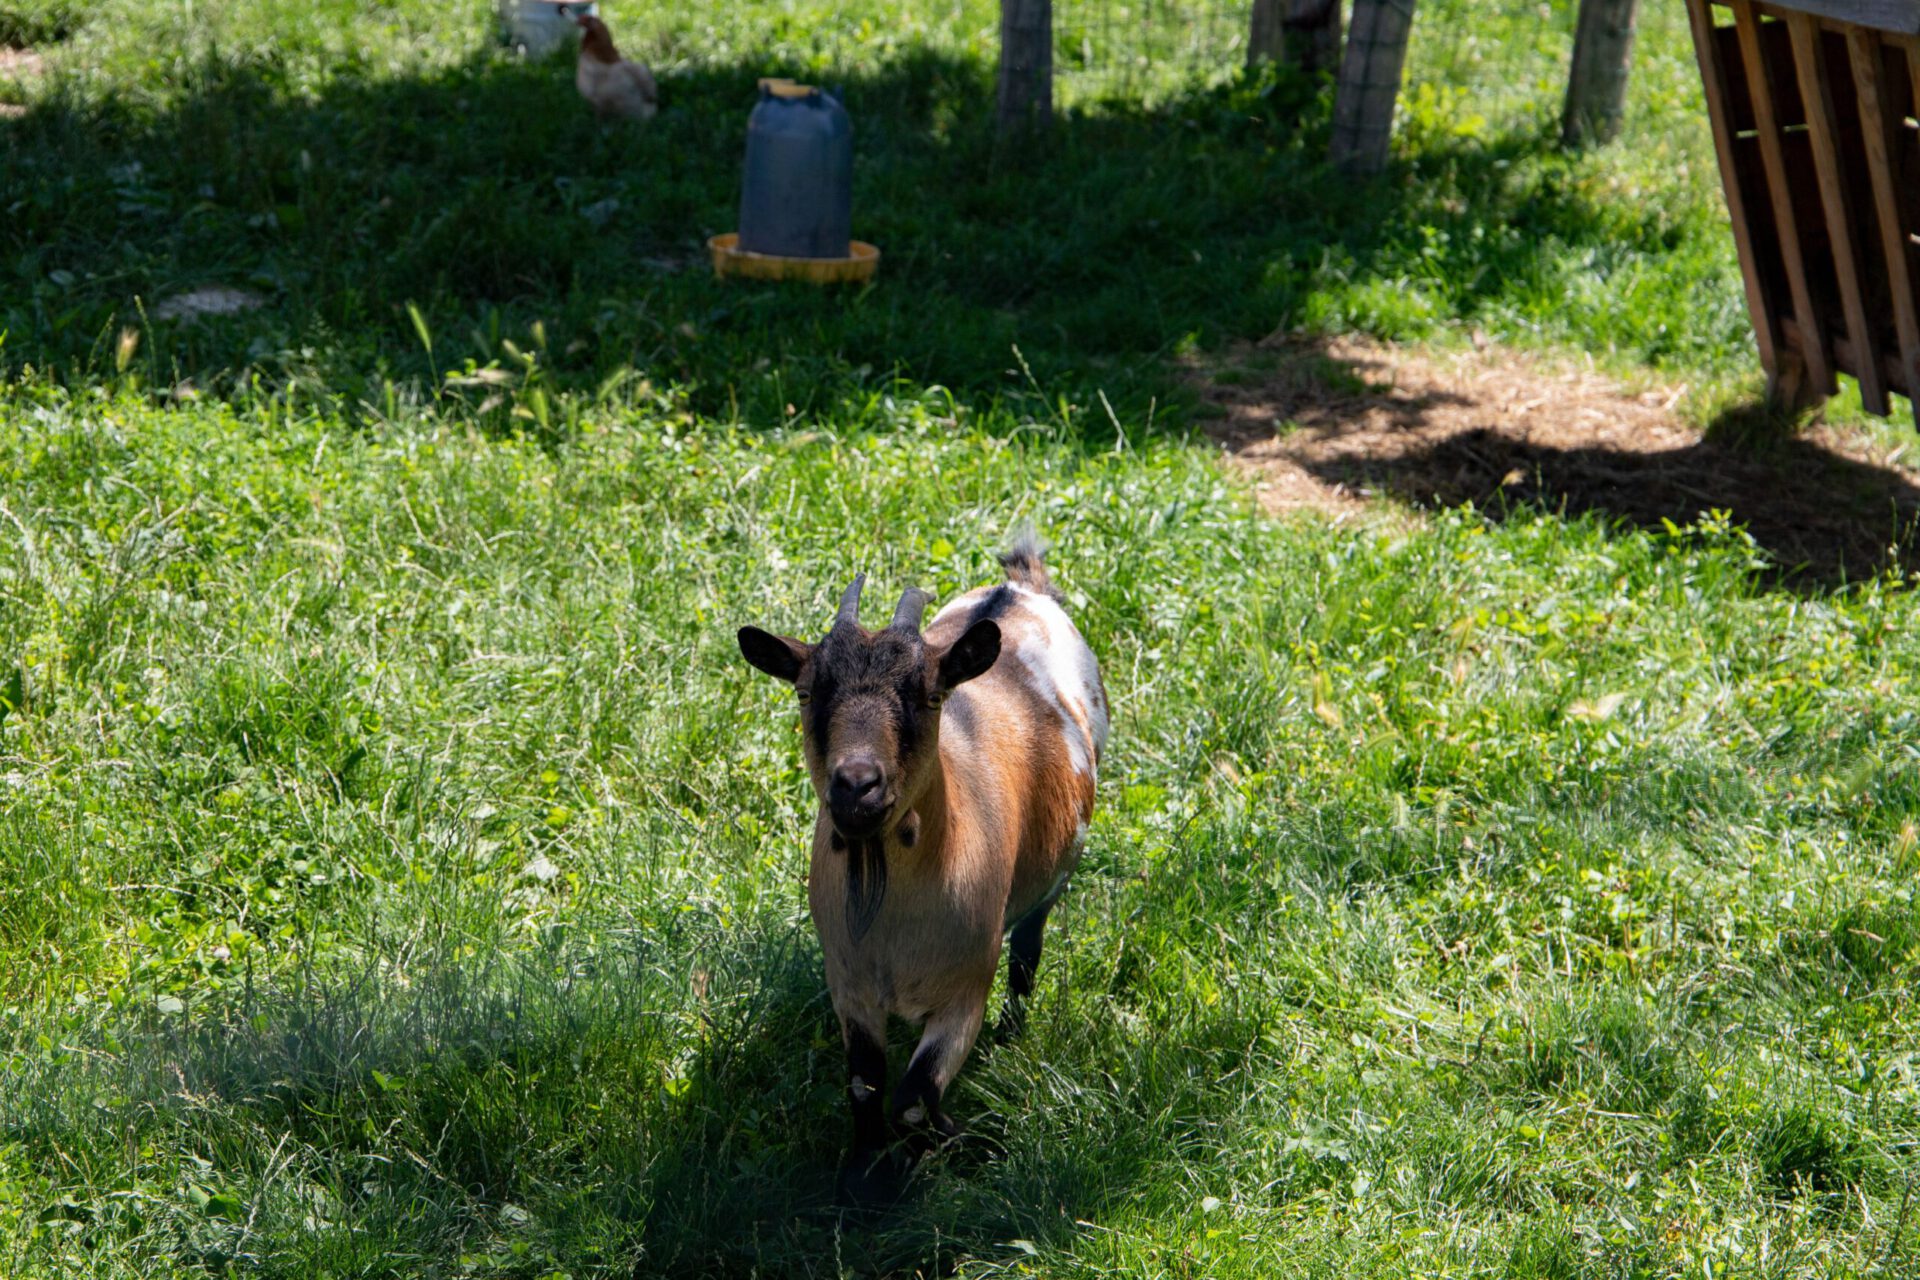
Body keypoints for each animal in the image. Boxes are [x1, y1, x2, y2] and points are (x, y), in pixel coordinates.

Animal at [737, 537, 1113, 1197]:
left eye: (930, 696)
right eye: (807, 693)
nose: (856, 785)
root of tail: (1018, 589)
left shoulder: (965, 994)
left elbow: (913, 1100)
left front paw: (956, 1143)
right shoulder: (850, 985)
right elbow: (865, 1087)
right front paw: (864, 1177)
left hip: (1053, 879)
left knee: (1028, 950)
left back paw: (1012, 1039)